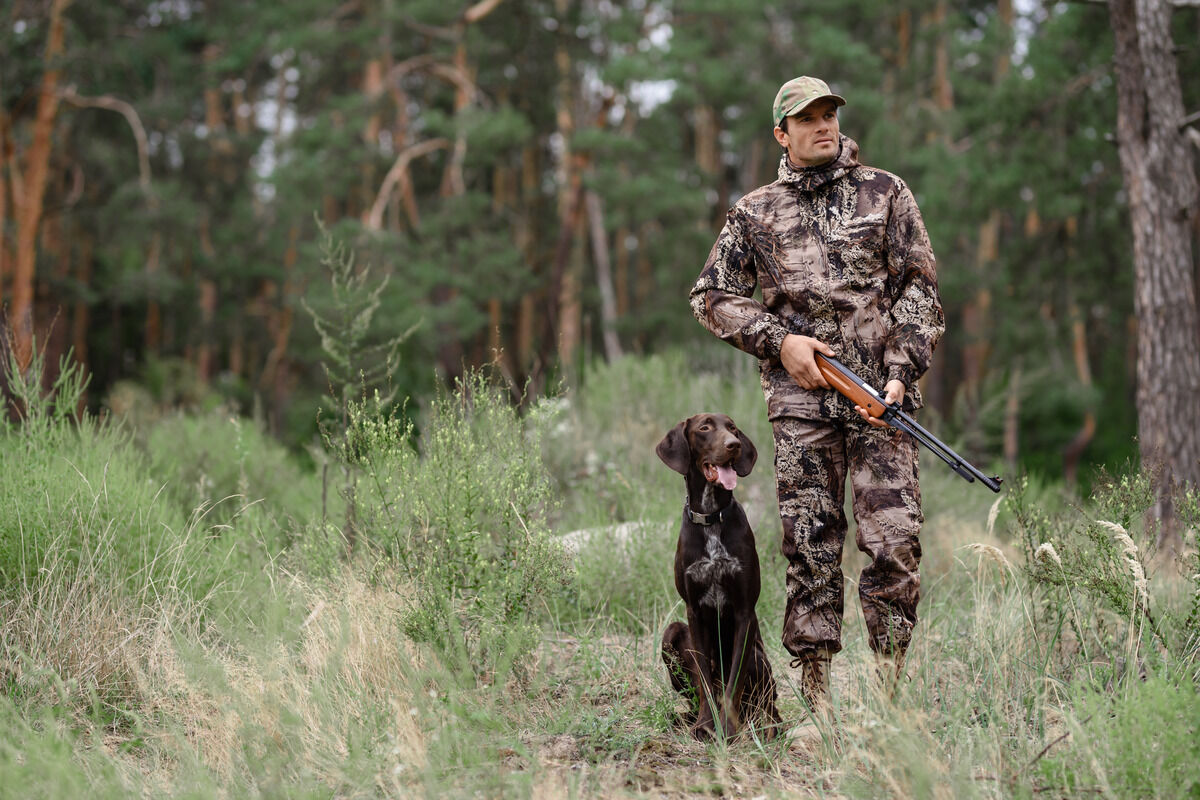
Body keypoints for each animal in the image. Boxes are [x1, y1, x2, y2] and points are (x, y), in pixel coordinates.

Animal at [657, 417, 777, 743]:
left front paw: (727, 729)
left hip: (759, 658)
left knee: (766, 702)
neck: (711, 518)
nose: (733, 445)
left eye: (733, 429)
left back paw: (767, 726)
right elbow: (704, 682)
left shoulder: (744, 613)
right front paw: (705, 725)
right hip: (672, 632)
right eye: (704, 428)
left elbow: (734, 681)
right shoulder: (693, 611)